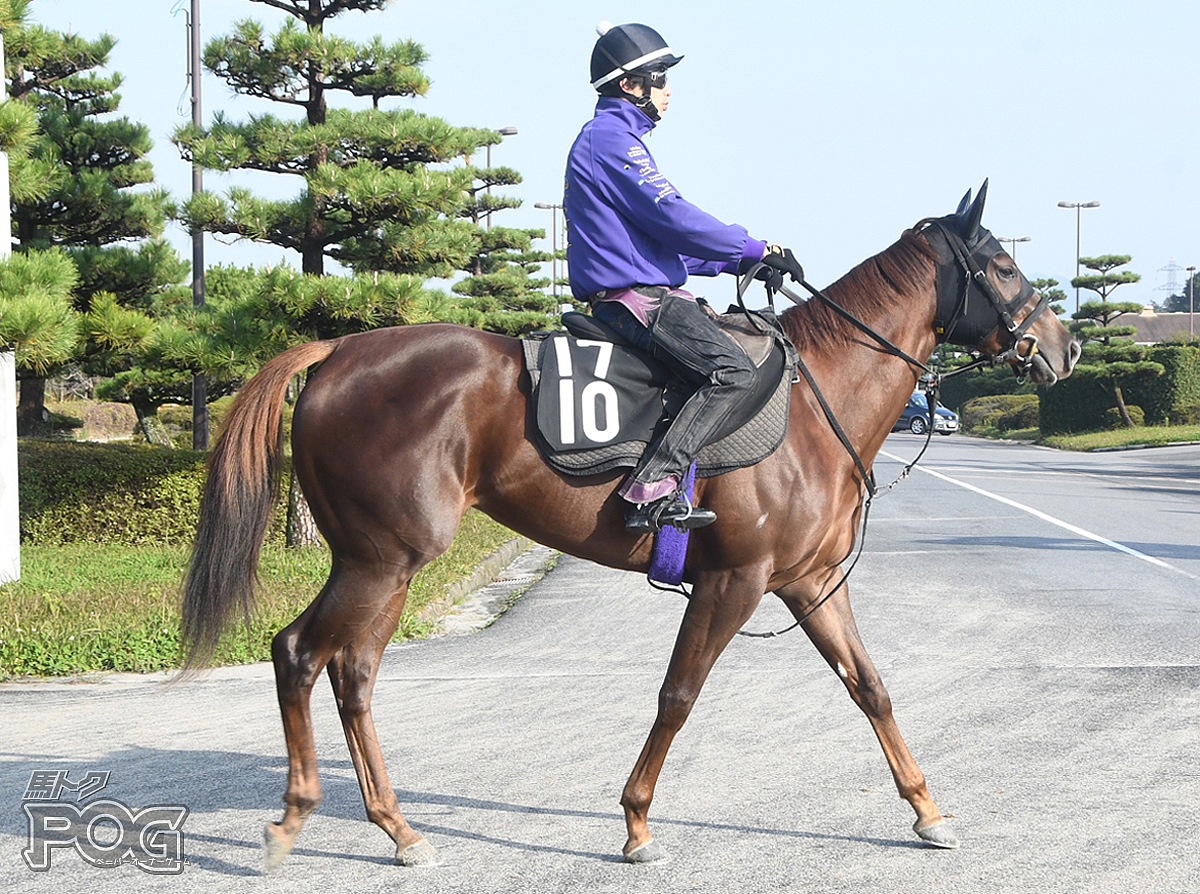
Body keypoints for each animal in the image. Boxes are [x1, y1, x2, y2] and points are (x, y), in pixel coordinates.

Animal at [184, 184, 1080, 868]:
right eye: (1003, 265)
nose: (1063, 347)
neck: (816, 401)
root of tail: (336, 352)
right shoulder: (734, 582)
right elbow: (678, 696)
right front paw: (637, 820)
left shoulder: (810, 584)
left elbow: (871, 688)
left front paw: (927, 809)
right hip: (381, 560)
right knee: (300, 655)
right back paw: (296, 816)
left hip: (384, 565)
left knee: (353, 674)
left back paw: (398, 828)